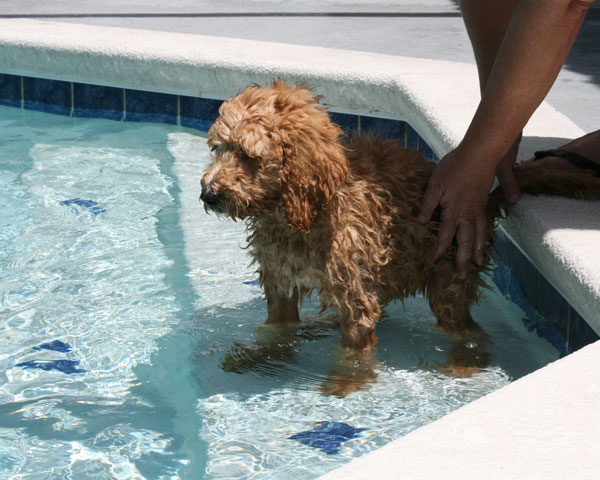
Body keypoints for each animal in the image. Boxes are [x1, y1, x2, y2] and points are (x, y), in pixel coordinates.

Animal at [200, 79, 600, 390]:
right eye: (218, 148)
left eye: (247, 155)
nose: (209, 194)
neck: (300, 216)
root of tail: (484, 198)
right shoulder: (280, 281)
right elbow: (279, 330)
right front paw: (263, 357)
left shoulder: (354, 296)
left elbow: (353, 353)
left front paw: (346, 385)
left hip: (450, 277)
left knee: (469, 332)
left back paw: (462, 365)